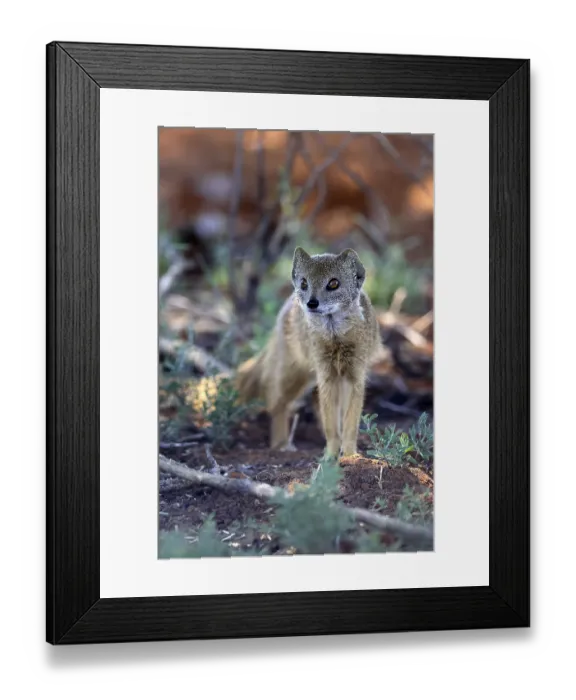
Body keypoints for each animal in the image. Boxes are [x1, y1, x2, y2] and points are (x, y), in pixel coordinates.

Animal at [235, 246, 382, 460]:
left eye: (333, 283)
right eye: (304, 283)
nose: (312, 303)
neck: (335, 339)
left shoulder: (355, 375)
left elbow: (349, 423)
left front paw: (350, 455)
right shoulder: (326, 375)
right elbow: (331, 425)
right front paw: (330, 456)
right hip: (294, 375)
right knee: (276, 403)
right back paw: (281, 445)